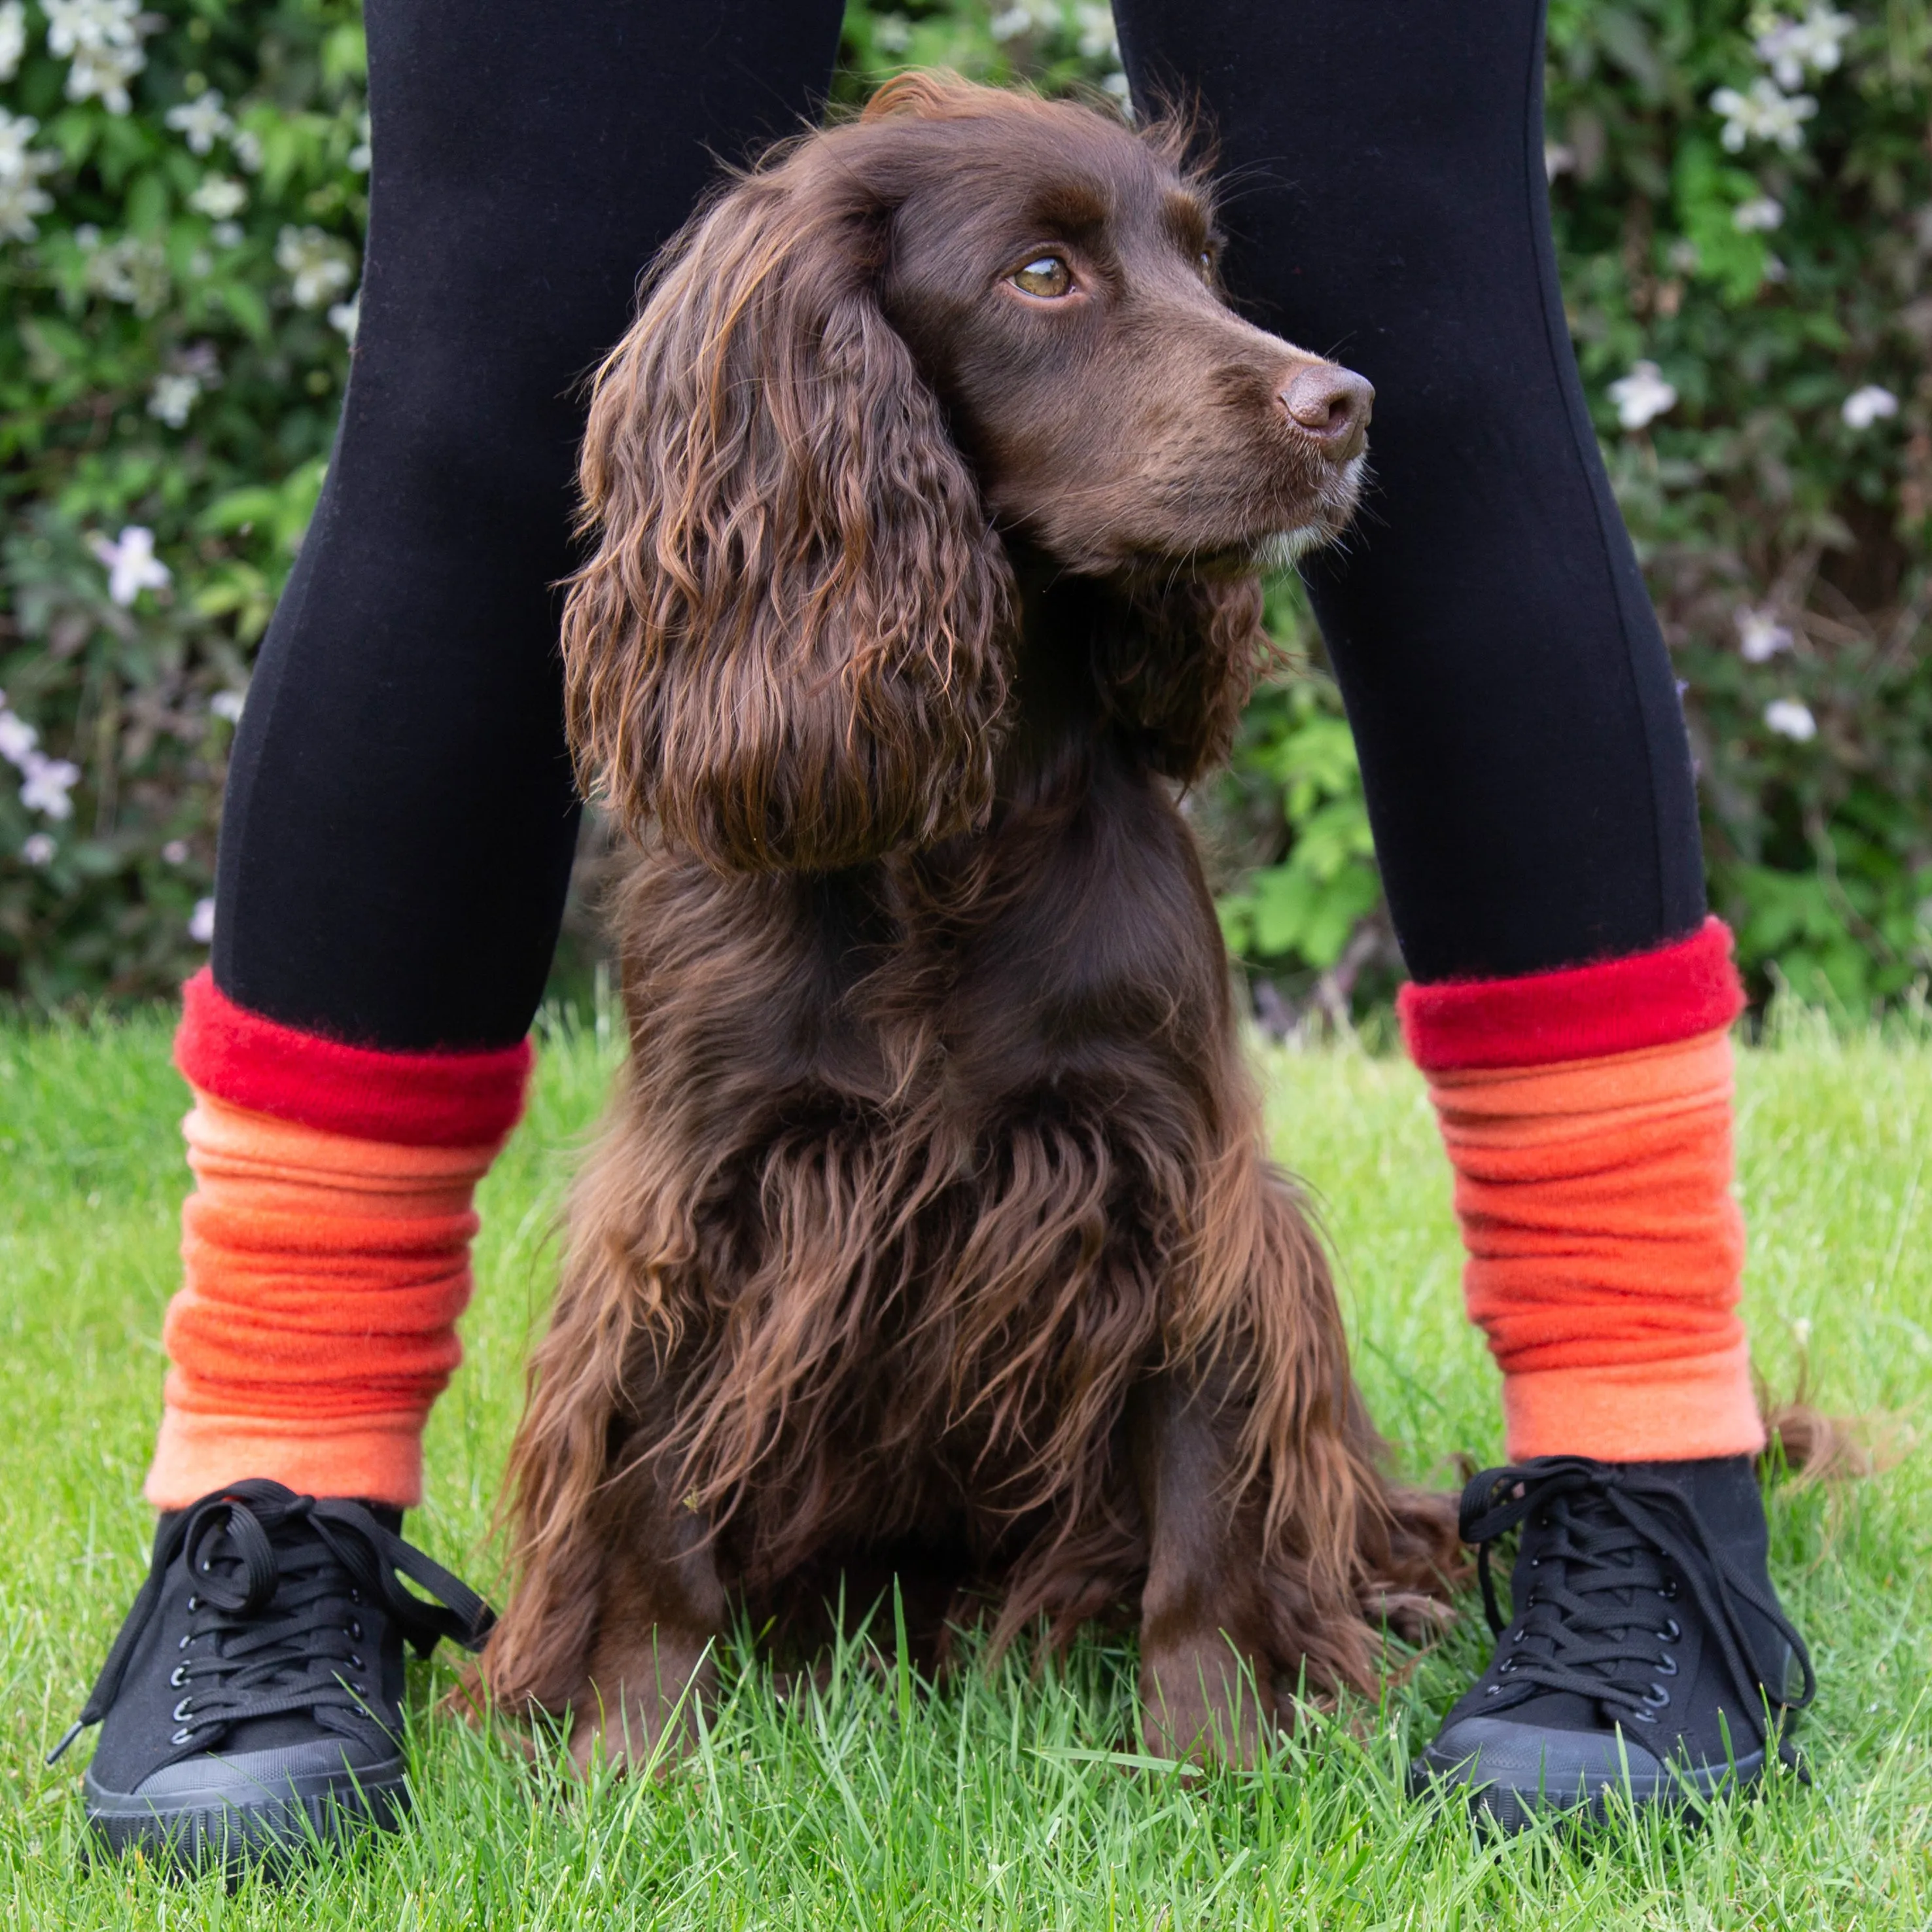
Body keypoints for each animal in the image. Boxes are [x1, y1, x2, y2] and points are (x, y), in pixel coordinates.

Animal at [475, 71, 1452, 1769]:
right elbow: (658, 1509)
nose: (1343, 404)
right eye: (1040, 275)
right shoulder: (704, 1195)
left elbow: (1205, 1506)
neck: (952, 834)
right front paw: (636, 1756)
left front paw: (1219, 1754)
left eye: (1199, 259)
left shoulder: (1172, 1174)